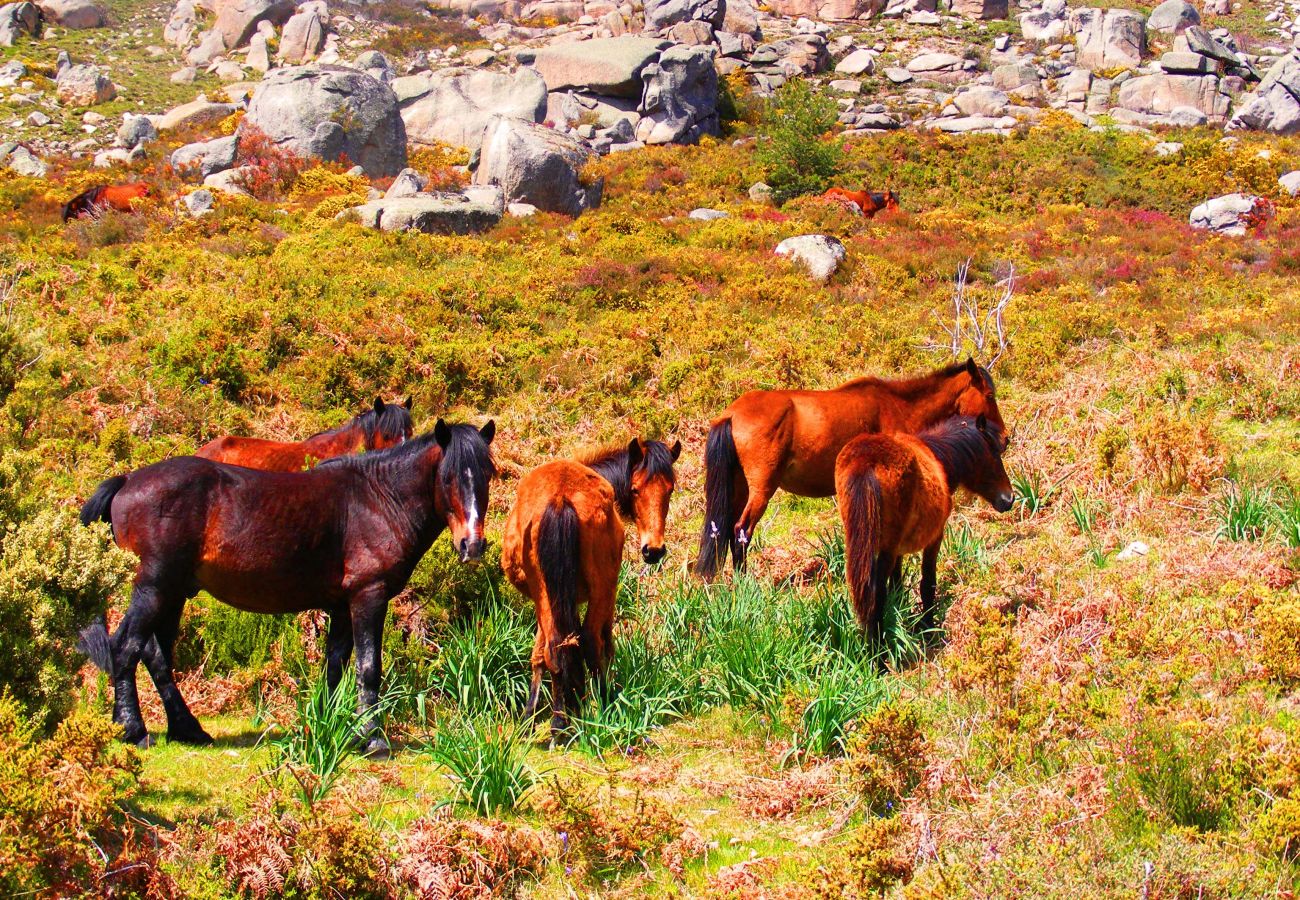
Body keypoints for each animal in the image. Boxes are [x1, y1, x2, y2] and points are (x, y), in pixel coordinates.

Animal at [79, 421, 496, 754]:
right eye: (448, 477)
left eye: (488, 475)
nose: (472, 545)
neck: (379, 500)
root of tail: (128, 481)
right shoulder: (368, 596)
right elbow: (368, 668)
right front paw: (372, 738)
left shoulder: (342, 606)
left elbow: (334, 667)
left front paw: (330, 729)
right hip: (153, 587)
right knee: (127, 648)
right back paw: (134, 730)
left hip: (173, 593)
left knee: (156, 655)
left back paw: (186, 729)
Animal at [501, 439, 681, 733]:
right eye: (635, 489)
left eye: (670, 490)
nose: (653, 550)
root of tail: (560, 498)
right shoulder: (610, 591)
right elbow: (605, 642)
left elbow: (541, 652)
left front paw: (532, 713)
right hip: (602, 588)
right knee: (590, 641)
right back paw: (604, 705)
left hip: (546, 592)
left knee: (557, 647)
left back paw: (558, 722)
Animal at [696, 356, 1008, 577]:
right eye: (990, 396)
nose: (1004, 438)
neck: (899, 406)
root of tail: (732, 413)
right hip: (761, 488)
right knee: (741, 532)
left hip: (738, 487)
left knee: (725, 531)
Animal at [832, 413, 1013, 647]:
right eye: (994, 453)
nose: (1008, 499)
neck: (939, 459)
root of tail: (866, 461)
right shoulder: (935, 538)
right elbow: (928, 583)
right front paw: (928, 626)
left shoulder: (897, 550)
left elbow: (897, 583)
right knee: (876, 595)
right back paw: (878, 653)